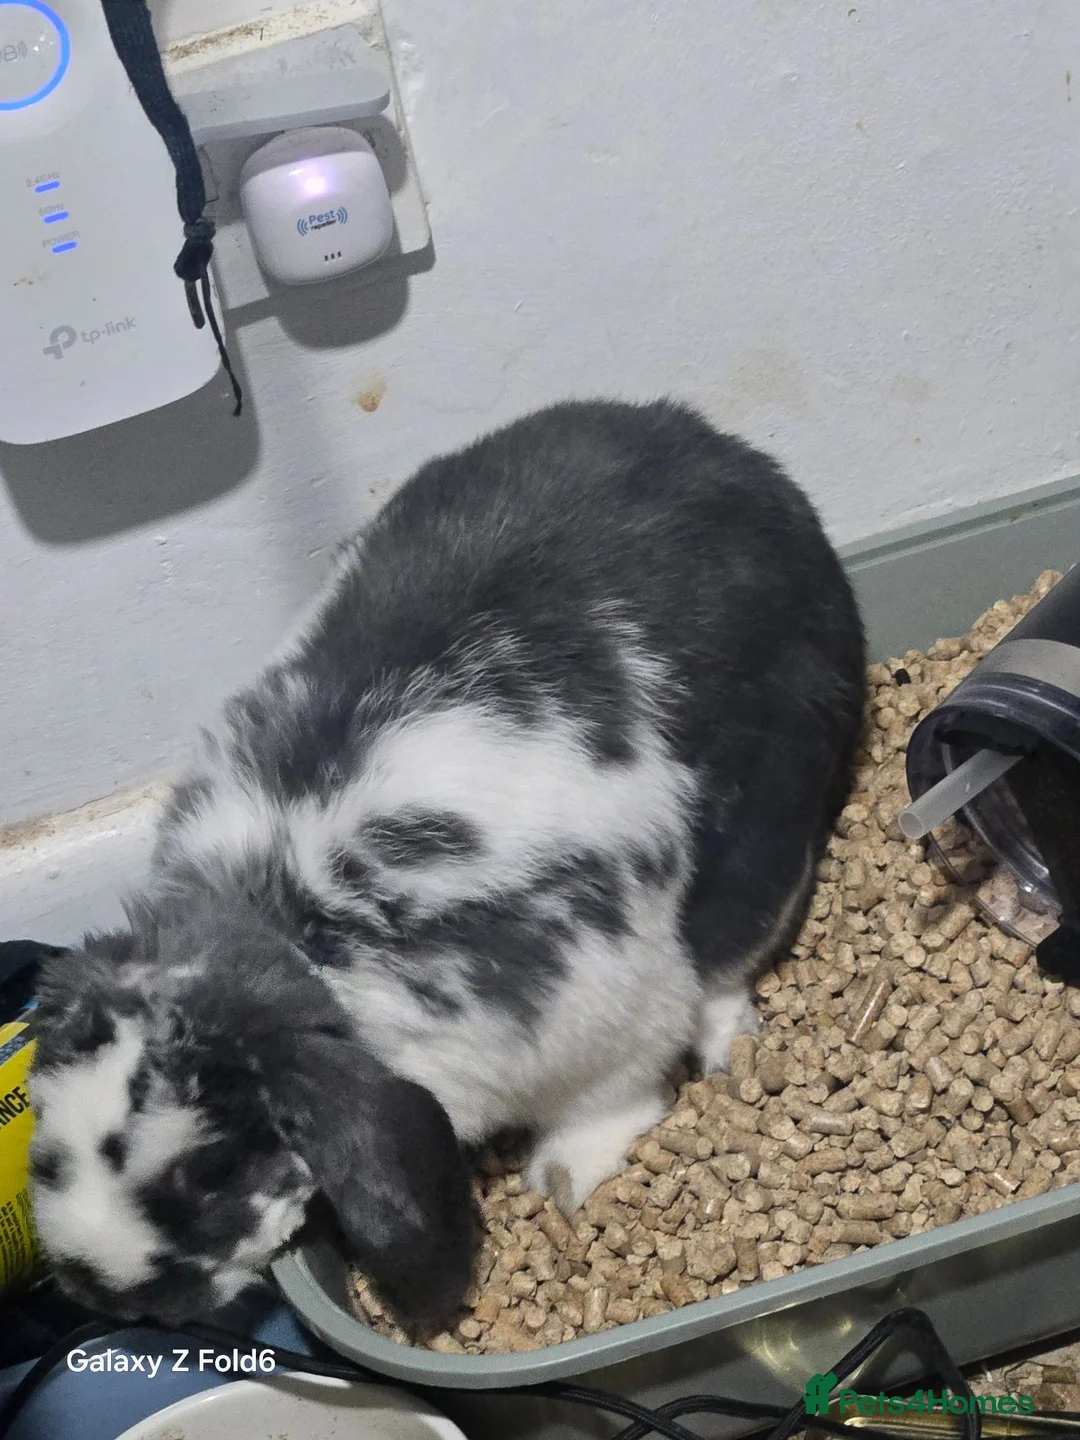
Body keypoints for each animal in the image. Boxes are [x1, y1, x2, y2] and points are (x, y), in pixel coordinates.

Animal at [28, 398, 865, 1333]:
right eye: (44, 1126)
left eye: (209, 1171)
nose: (97, 1289)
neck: (303, 932)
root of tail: (742, 462)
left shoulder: (608, 1021)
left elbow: (609, 1100)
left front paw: (566, 1180)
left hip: (773, 822)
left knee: (731, 955)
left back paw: (725, 1047)